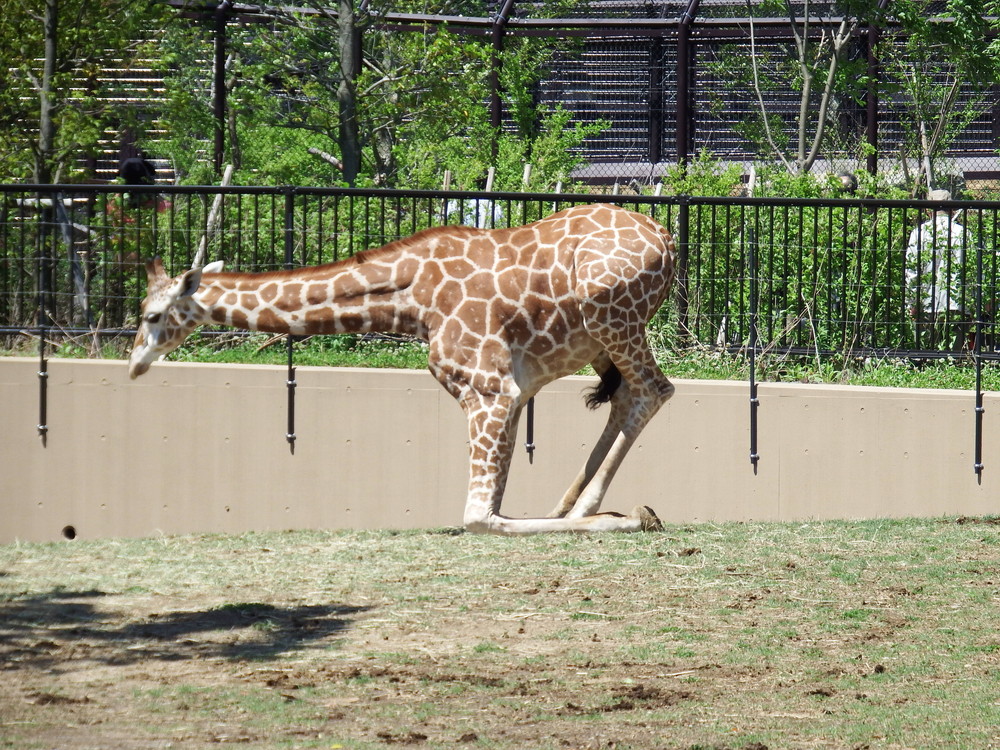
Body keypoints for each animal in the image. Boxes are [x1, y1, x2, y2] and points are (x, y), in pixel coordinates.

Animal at [129, 204, 676, 536]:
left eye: (152, 315)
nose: (134, 364)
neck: (412, 298)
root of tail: (668, 240)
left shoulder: (489, 388)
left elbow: (477, 517)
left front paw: (629, 517)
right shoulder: (513, 391)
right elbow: (492, 506)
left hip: (611, 317)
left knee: (655, 389)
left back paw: (601, 510)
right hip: (603, 337)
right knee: (628, 394)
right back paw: (572, 503)